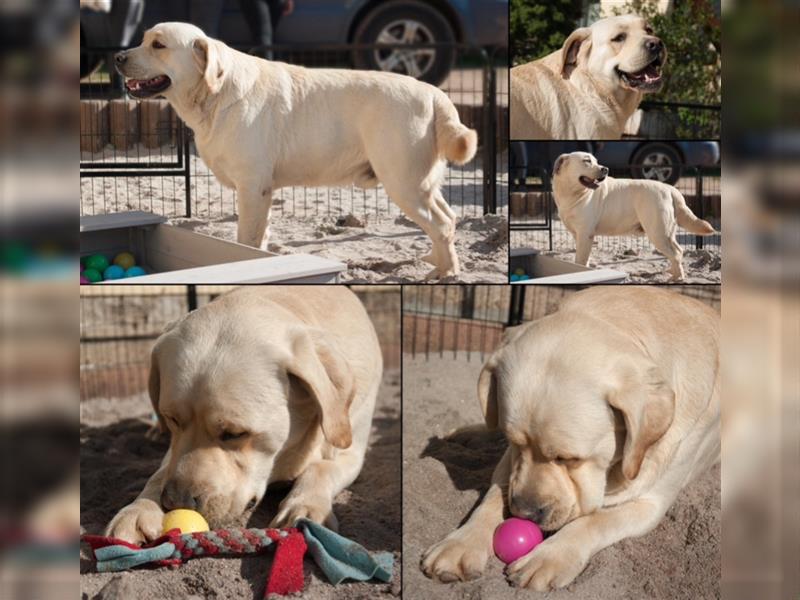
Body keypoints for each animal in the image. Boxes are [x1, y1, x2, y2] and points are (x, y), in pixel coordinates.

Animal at [105, 286, 384, 544]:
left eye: (235, 433)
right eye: (173, 419)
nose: (175, 501)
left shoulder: (350, 451)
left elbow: (321, 467)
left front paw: (305, 507)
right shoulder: (173, 449)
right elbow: (160, 472)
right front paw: (137, 510)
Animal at [112, 21, 476, 278]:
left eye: (158, 45)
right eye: (143, 39)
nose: (117, 58)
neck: (215, 93)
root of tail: (435, 93)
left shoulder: (252, 187)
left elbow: (246, 240)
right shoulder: (263, 191)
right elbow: (260, 239)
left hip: (403, 181)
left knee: (441, 223)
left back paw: (446, 272)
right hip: (423, 182)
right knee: (449, 217)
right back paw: (435, 259)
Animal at [422, 286, 720, 592]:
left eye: (569, 458)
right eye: (516, 443)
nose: (524, 513)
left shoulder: (650, 503)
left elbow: (596, 519)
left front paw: (548, 557)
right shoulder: (510, 463)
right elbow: (494, 496)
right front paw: (460, 544)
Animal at [552, 152, 716, 278]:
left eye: (596, 161)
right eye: (586, 161)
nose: (605, 169)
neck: (572, 193)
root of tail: (670, 189)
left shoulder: (585, 234)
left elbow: (580, 260)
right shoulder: (578, 235)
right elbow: (583, 259)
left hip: (658, 232)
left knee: (675, 253)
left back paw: (677, 278)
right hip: (667, 232)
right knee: (679, 251)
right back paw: (672, 272)